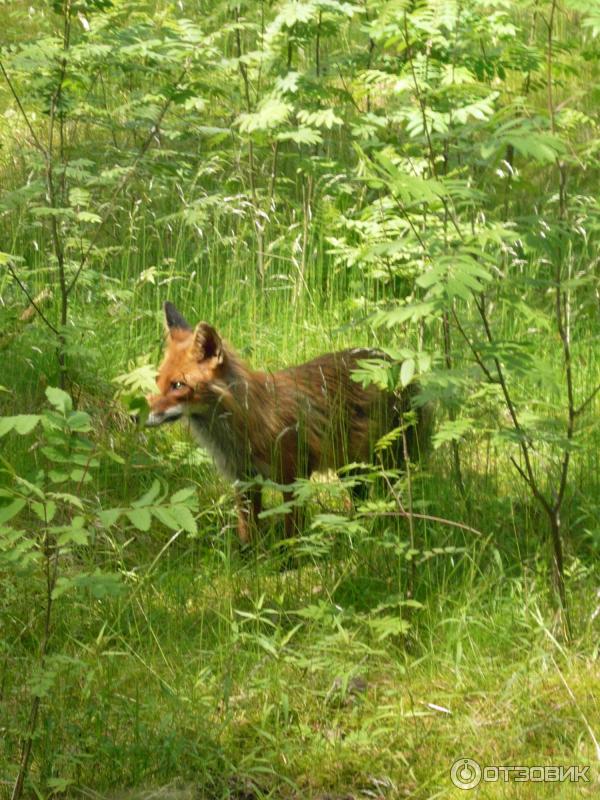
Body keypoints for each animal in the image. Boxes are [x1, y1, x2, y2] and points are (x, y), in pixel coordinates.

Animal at [145, 302, 426, 544]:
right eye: (157, 380)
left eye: (178, 385)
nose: (140, 416)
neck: (248, 422)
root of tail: (392, 358)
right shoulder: (244, 481)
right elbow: (247, 531)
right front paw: (249, 560)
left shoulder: (295, 474)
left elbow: (292, 530)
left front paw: (290, 562)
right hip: (352, 467)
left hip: (380, 461)